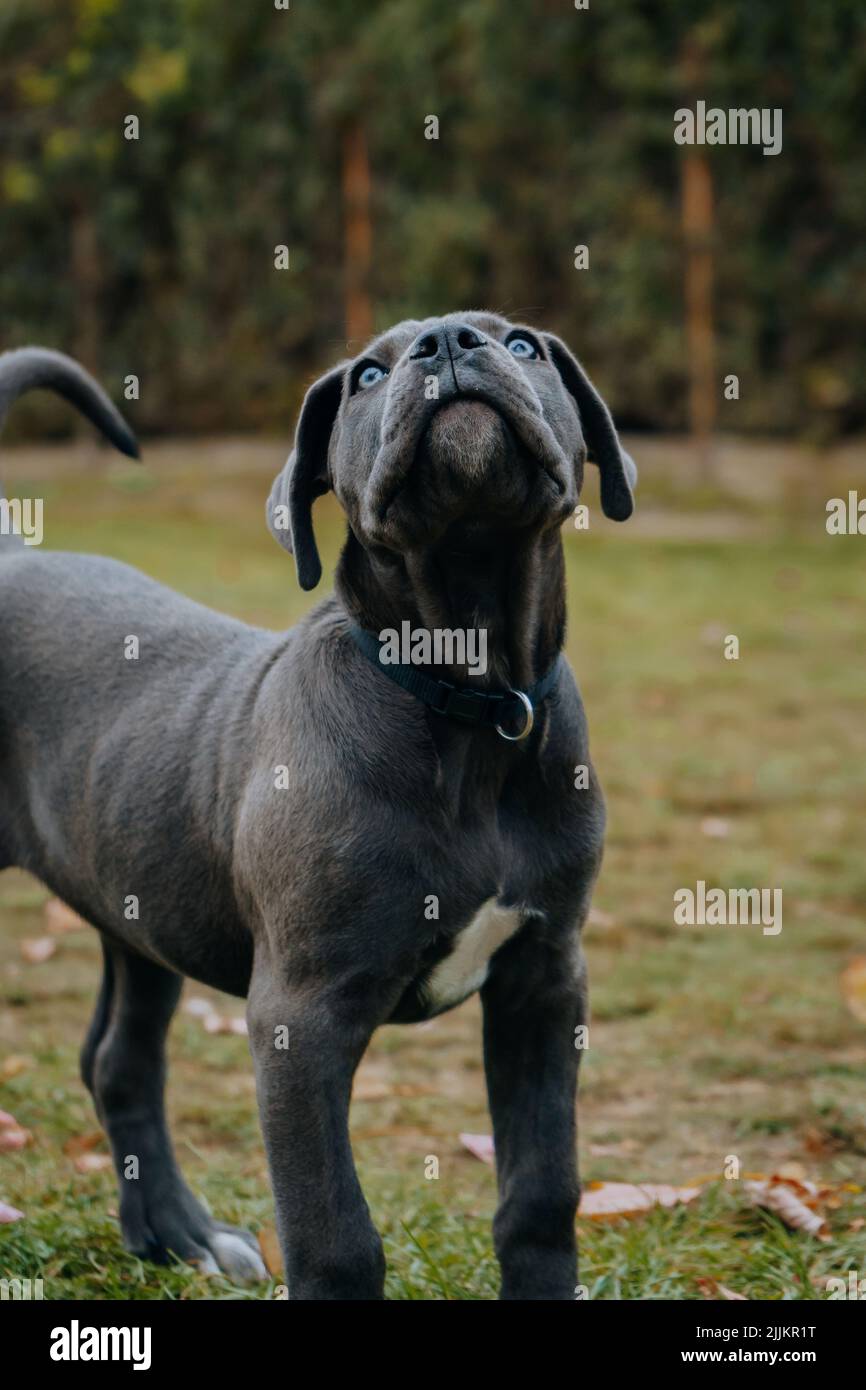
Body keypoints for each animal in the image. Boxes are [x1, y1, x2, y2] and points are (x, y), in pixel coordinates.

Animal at [0, 318, 636, 1301]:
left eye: (525, 345)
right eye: (368, 374)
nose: (448, 339)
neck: (465, 696)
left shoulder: (544, 978)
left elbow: (540, 1192)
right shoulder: (301, 1015)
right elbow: (333, 1232)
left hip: (138, 901)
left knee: (119, 1064)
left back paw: (180, 1236)